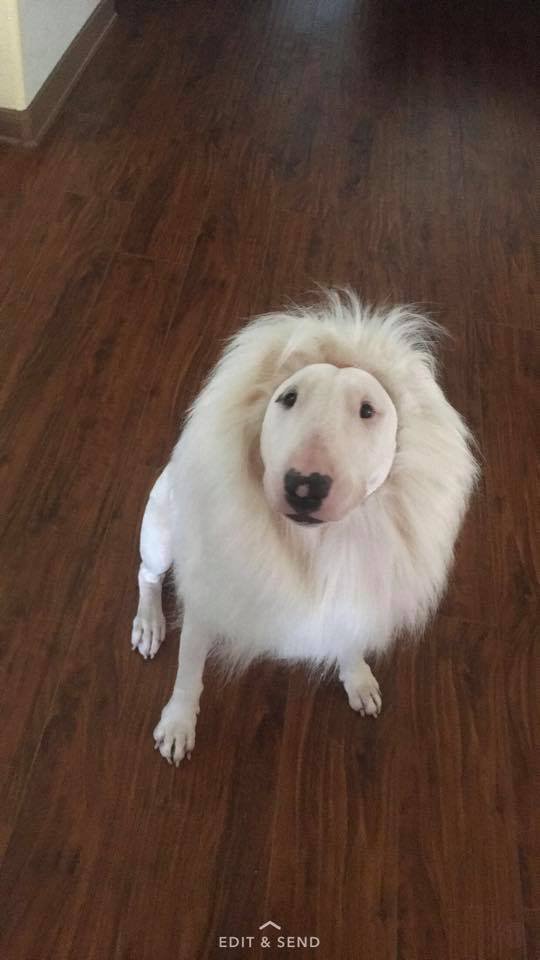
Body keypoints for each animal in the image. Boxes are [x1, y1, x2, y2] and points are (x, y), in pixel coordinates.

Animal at [131, 292, 476, 764]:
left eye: (368, 410)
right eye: (287, 398)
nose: (304, 486)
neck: (313, 549)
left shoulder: (352, 598)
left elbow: (349, 642)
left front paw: (357, 677)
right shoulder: (207, 600)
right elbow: (188, 672)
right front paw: (178, 725)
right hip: (161, 534)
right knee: (147, 575)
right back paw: (149, 624)